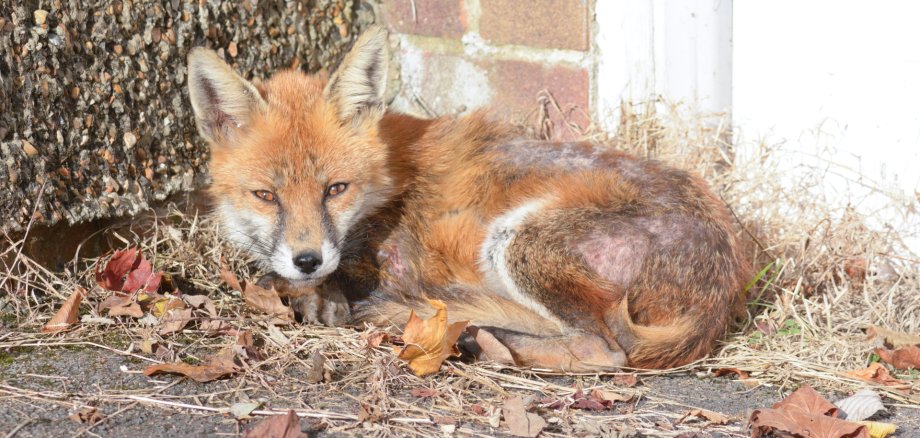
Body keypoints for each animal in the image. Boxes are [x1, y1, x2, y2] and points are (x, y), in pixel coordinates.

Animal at [186, 26, 751, 371]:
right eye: (266, 195)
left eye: (335, 189)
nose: (307, 259)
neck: (388, 181)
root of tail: (726, 279)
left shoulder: (399, 266)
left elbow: (313, 285)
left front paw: (316, 297)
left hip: (518, 242)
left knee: (602, 350)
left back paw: (482, 339)